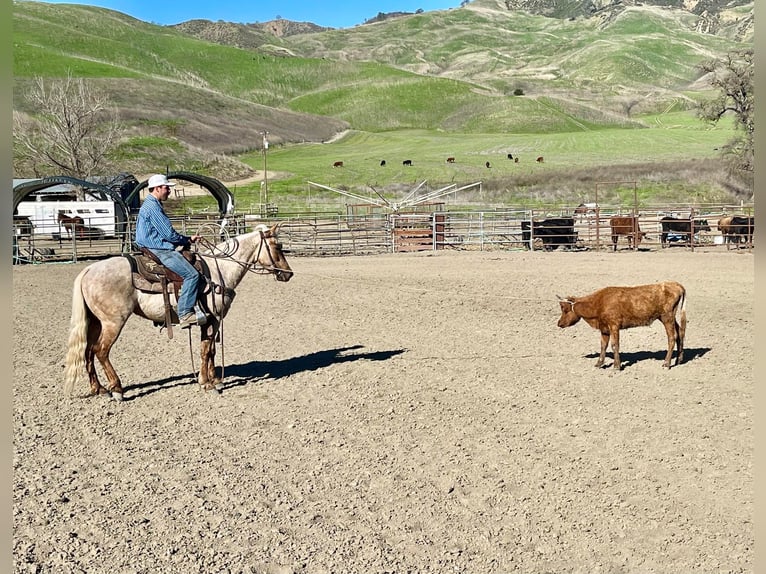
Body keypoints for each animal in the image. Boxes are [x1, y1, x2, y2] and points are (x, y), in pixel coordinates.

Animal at [63, 223, 294, 402]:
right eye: (278, 246)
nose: (288, 274)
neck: (220, 269)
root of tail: (88, 270)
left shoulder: (210, 321)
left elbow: (210, 350)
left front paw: (213, 380)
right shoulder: (213, 319)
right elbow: (206, 350)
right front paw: (207, 384)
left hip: (95, 322)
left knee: (87, 352)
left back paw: (99, 389)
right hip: (113, 322)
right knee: (101, 351)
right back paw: (117, 389)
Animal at [556, 282, 688, 372]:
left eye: (565, 309)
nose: (559, 323)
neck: (599, 303)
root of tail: (674, 284)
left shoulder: (614, 325)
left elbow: (615, 345)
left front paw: (616, 366)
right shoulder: (604, 328)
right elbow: (603, 345)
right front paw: (599, 363)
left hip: (667, 317)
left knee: (672, 337)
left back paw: (666, 363)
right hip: (668, 318)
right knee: (680, 333)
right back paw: (678, 360)